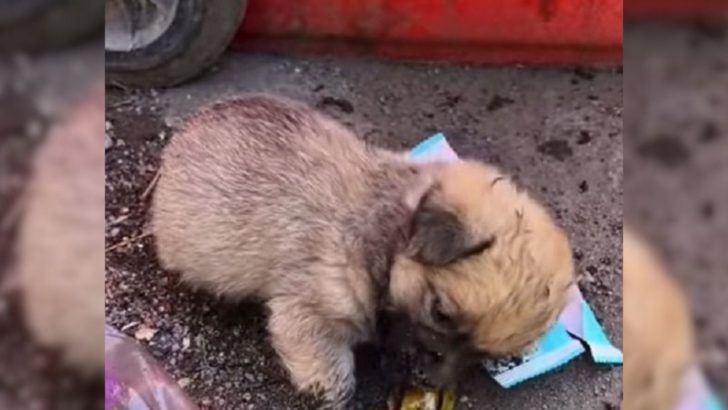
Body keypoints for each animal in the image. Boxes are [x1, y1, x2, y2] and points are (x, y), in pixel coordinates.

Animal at [154, 95, 576, 406]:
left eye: (483, 358)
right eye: (440, 313)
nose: (427, 379)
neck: (383, 232)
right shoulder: (310, 316)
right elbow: (334, 377)